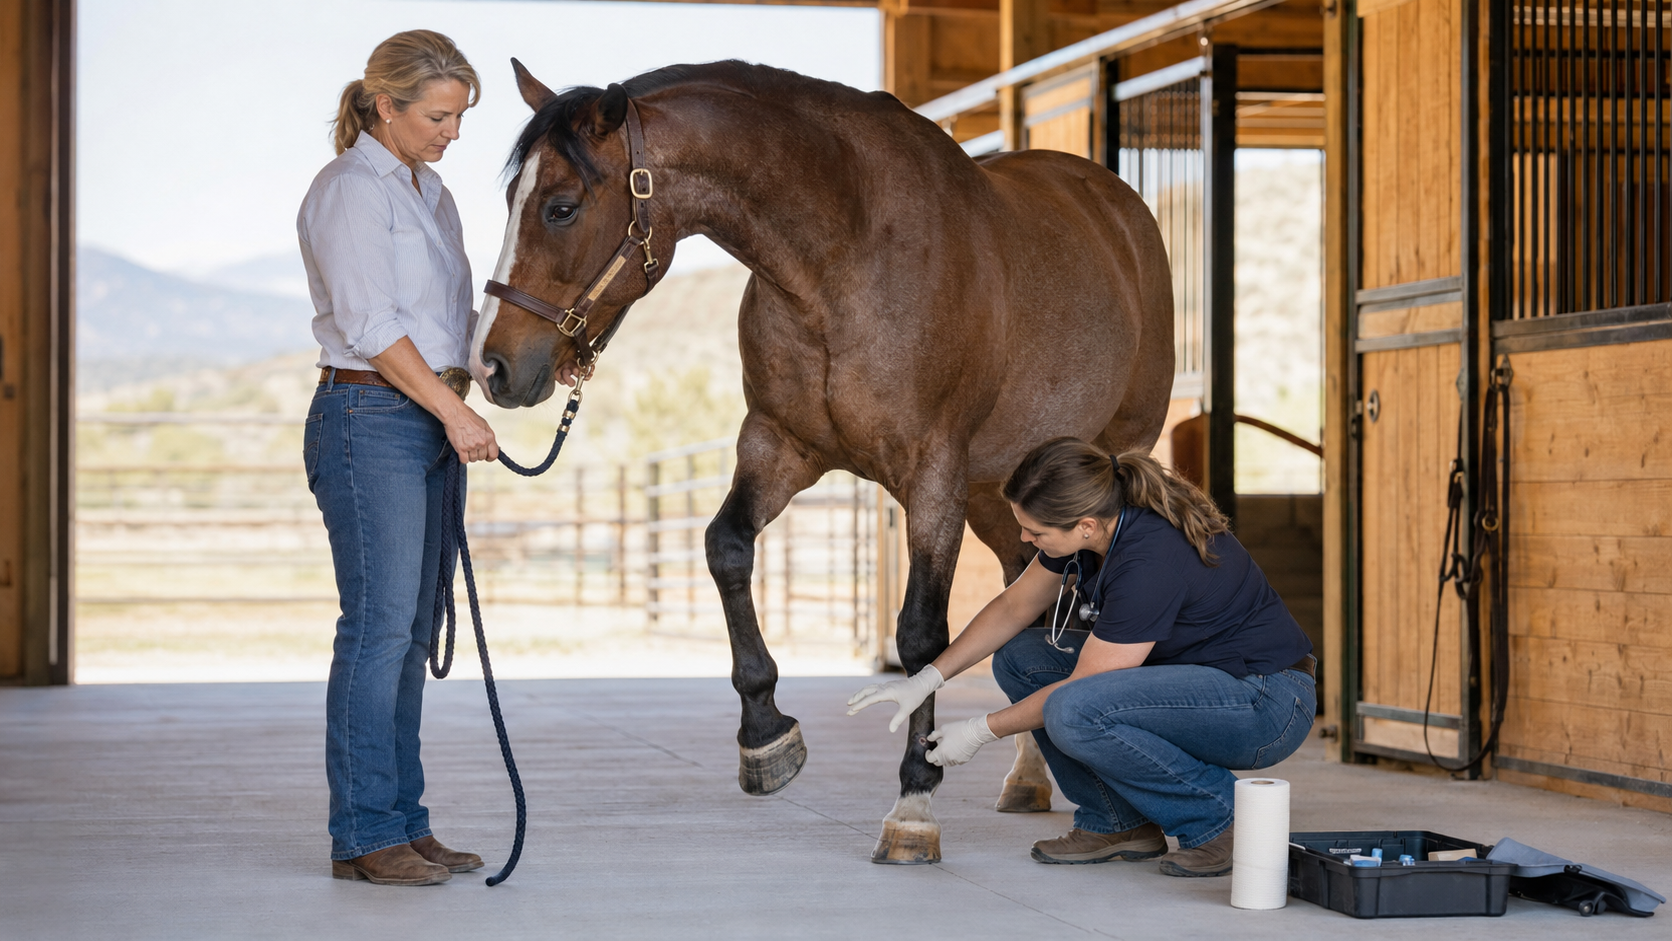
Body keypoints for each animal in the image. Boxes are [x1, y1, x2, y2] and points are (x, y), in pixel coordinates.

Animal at [468, 60, 1174, 864]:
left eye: (560, 208)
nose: (491, 366)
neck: (845, 256)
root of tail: (1117, 206)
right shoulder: (779, 444)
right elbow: (726, 547)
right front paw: (766, 736)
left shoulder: (932, 472)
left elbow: (921, 633)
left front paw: (913, 802)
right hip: (1002, 493)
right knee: (1023, 593)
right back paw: (1027, 779)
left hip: (1097, 457)